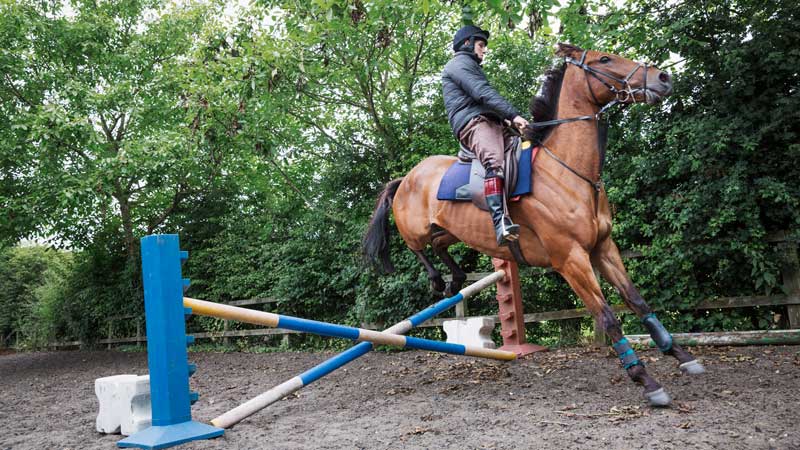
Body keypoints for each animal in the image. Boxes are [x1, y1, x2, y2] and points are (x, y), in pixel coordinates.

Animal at [362, 44, 708, 406]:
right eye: (604, 60)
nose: (664, 78)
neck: (567, 170)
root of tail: (406, 177)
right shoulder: (571, 260)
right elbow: (608, 318)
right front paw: (646, 380)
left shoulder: (603, 248)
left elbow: (637, 302)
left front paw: (681, 355)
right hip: (416, 227)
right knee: (417, 246)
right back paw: (437, 280)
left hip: (452, 230)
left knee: (441, 244)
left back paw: (455, 279)